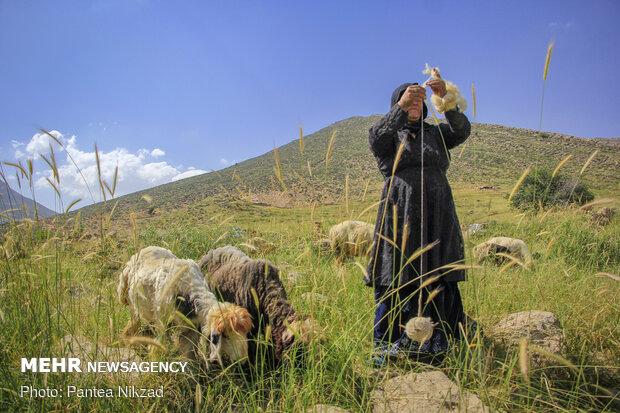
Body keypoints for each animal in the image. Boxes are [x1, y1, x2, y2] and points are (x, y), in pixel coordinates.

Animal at [116, 245, 252, 364]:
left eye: (245, 334)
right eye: (226, 336)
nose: (242, 360)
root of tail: (145, 249)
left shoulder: (191, 328)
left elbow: (188, 351)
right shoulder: (162, 322)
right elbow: (157, 347)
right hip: (133, 305)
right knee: (134, 323)